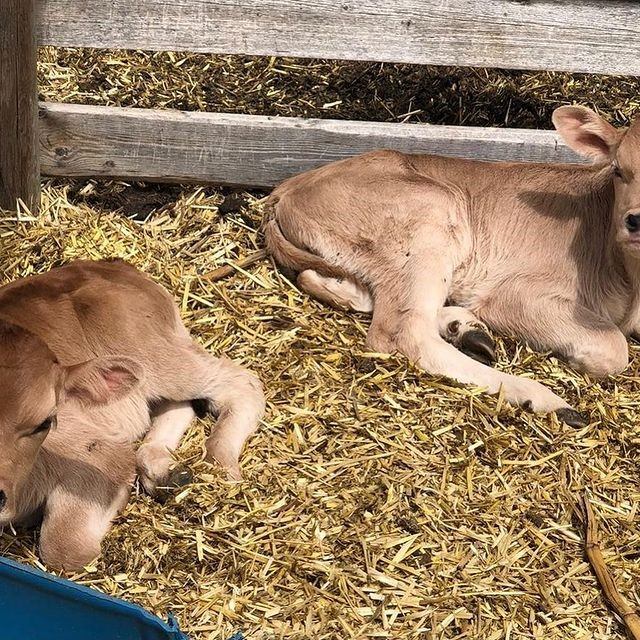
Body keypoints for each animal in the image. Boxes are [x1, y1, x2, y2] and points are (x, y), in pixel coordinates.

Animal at [0, 259, 265, 570]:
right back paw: (164, 470)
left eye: (44, 422)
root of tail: (112, 265)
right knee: (179, 406)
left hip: (155, 355)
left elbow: (64, 550)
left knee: (241, 382)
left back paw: (221, 462)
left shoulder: (100, 453)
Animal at [264, 106, 640, 425]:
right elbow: (614, 348)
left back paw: (464, 327)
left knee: (339, 286)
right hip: (430, 216)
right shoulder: (517, 295)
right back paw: (540, 397)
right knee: (404, 332)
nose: (635, 221)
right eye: (617, 170)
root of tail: (288, 187)